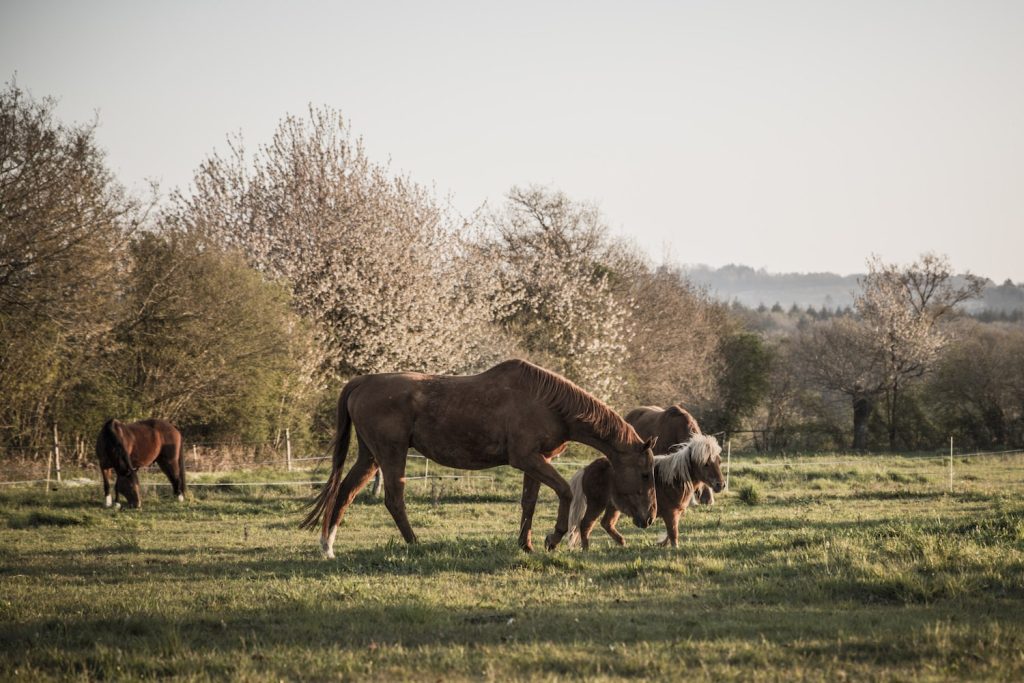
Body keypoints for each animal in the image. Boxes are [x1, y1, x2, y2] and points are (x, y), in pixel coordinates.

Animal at [300, 359, 658, 558]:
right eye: (645, 474)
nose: (650, 517)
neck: (547, 402)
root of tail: (362, 381)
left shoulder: (535, 462)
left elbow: (528, 503)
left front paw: (526, 545)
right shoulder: (528, 459)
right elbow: (565, 492)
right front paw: (553, 538)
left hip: (370, 456)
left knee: (344, 492)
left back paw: (327, 548)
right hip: (391, 455)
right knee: (394, 500)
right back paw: (415, 543)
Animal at [565, 434, 725, 549]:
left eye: (719, 461)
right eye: (706, 464)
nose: (721, 485)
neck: (673, 479)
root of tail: (586, 469)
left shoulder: (676, 513)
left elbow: (671, 532)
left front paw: (661, 544)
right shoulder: (670, 513)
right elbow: (673, 533)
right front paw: (674, 548)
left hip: (613, 506)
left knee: (606, 523)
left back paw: (622, 543)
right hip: (596, 504)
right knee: (586, 524)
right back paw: (586, 549)